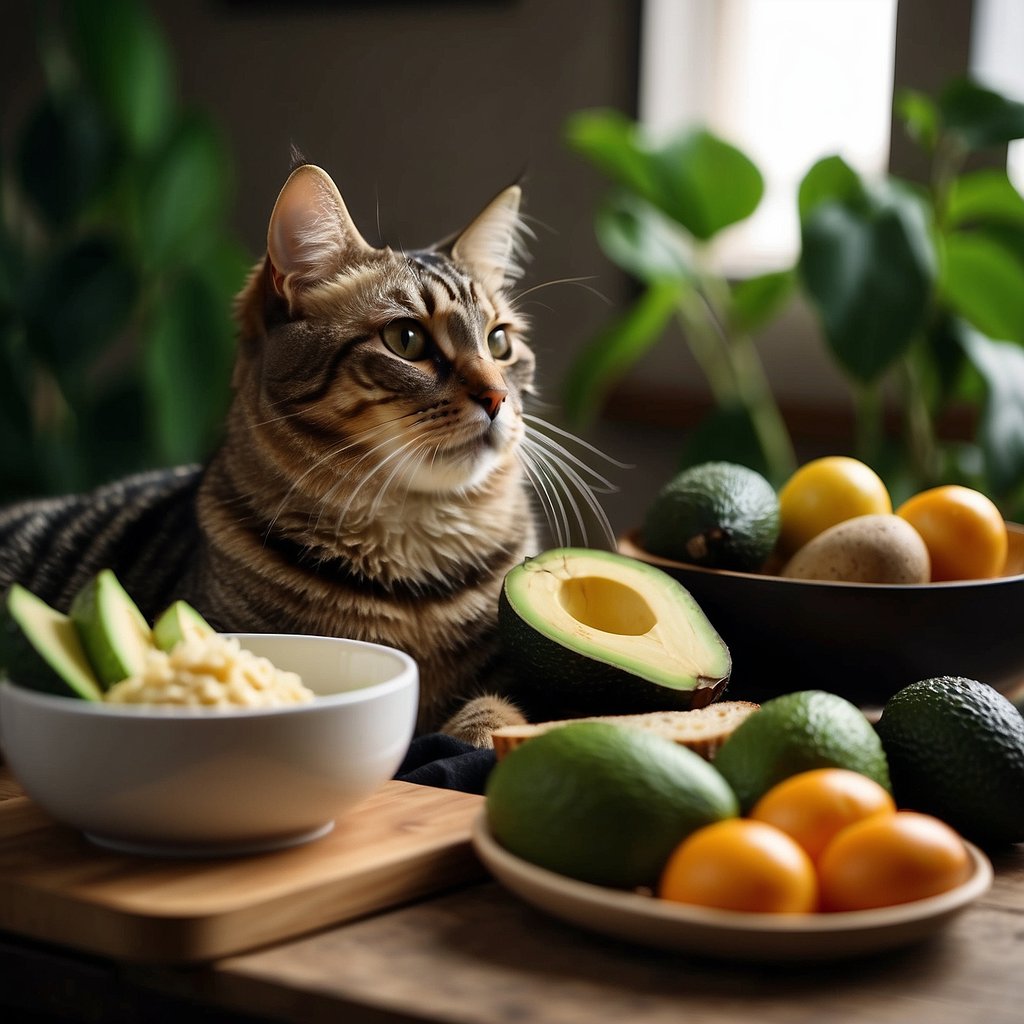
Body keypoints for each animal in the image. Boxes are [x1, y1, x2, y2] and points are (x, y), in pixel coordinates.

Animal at [0, 163, 610, 749]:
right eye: (407, 339)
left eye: (500, 343)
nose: (497, 396)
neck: (415, 561)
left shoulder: (517, 676)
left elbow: (496, 709)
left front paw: (479, 729)